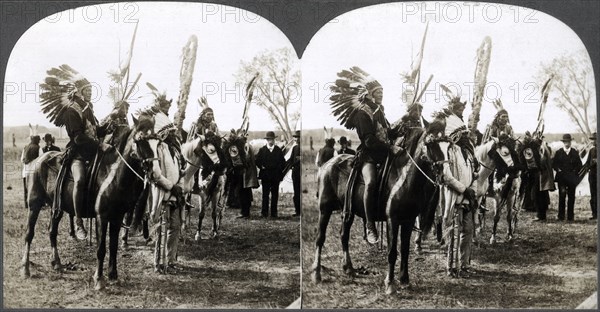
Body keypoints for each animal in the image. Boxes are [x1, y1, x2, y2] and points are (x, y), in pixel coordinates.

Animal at [21, 117, 162, 290]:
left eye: (157, 141)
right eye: (141, 140)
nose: (156, 173)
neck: (113, 175)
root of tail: (38, 160)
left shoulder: (116, 218)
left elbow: (113, 247)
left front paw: (113, 275)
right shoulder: (102, 217)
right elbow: (101, 249)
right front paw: (99, 280)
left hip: (57, 208)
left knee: (52, 232)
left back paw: (57, 263)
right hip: (34, 204)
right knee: (29, 234)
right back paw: (26, 269)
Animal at [312, 121, 448, 294]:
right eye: (430, 143)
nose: (443, 174)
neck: (403, 178)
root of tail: (327, 165)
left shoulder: (409, 220)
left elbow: (405, 250)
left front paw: (404, 280)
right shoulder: (392, 219)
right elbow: (392, 251)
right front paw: (390, 284)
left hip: (348, 211)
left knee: (344, 235)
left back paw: (349, 268)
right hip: (325, 209)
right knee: (320, 238)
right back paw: (317, 273)